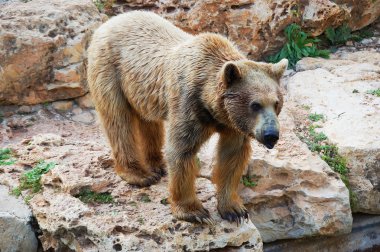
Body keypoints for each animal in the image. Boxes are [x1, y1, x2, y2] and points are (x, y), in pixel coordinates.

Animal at [87, 10, 288, 223]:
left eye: (276, 103)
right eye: (255, 105)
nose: (271, 134)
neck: (211, 107)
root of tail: (111, 21)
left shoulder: (232, 122)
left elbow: (232, 155)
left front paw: (234, 209)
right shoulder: (189, 104)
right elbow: (182, 150)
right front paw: (194, 211)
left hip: (141, 89)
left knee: (148, 121)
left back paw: (157, 164)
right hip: (110, 71)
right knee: (118, 121)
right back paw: (139, 174)